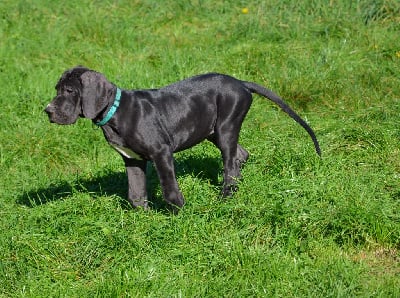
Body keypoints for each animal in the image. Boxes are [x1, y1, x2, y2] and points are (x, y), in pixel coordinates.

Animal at [45, 67, 320, 212]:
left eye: (69, 91)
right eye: (57, 89)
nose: (47, 110)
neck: (115, 110)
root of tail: (239, 82)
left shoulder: (161, 152)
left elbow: (169, 189)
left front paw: (179, 215)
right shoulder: (132, 160)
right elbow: (135, 194)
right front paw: (143, 220)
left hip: (226, 126)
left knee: (230, 164)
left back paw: (225, 199)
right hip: (213, 131)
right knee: (240, 155)